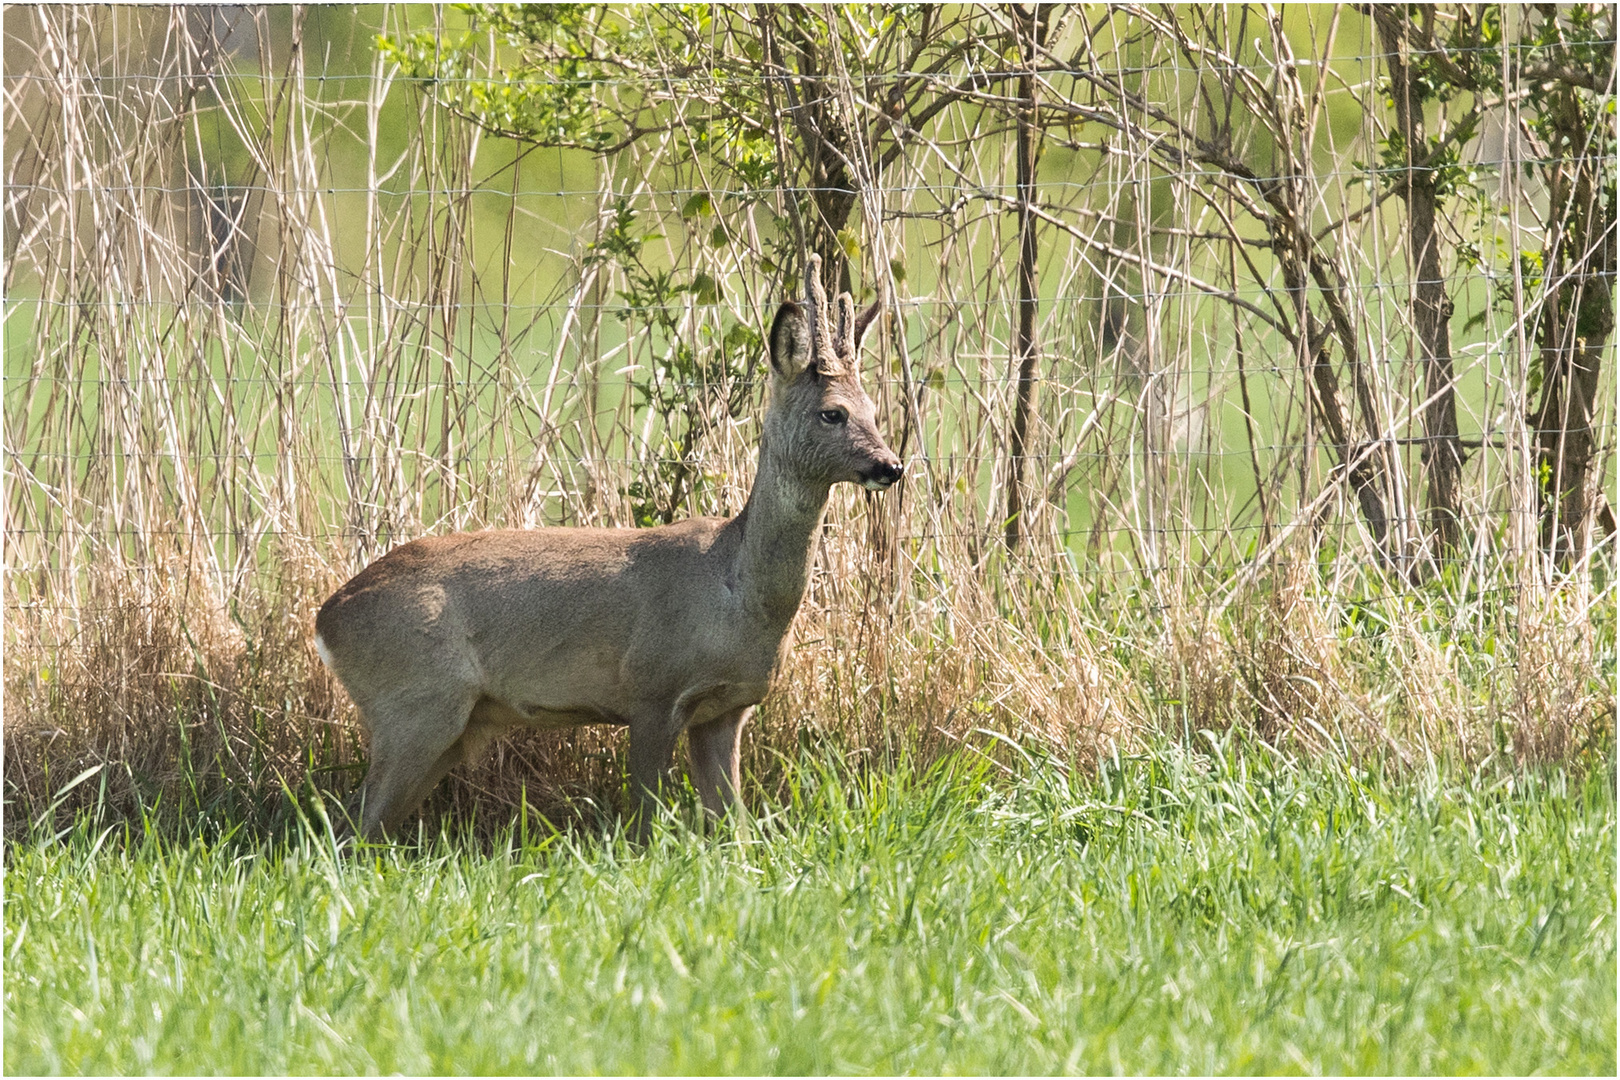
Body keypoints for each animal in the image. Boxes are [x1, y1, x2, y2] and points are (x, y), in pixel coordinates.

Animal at [309, 255, 907, 841]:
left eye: (875, 411)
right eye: (832, 412)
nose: (892, 466)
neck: (735, 592)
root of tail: (325, 620)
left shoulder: (727, 708)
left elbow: (732, 826)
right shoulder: (651, 689)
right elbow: (644, 824)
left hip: (453, 722)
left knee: (363, 827)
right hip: (414, 703)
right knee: (350, 825)